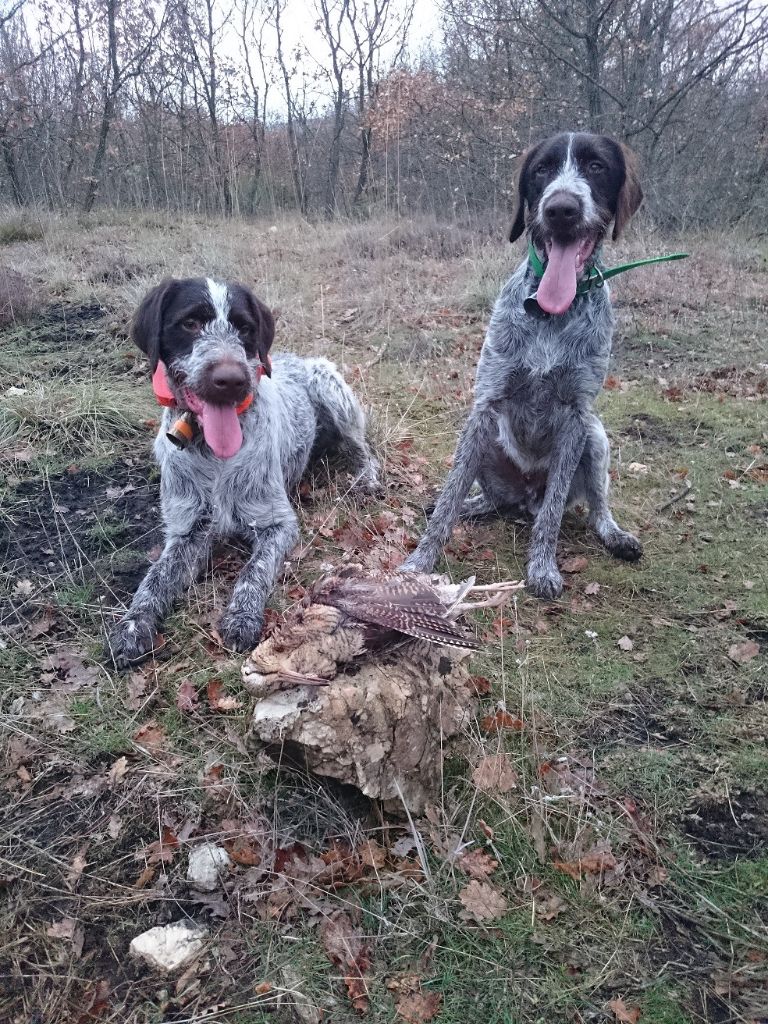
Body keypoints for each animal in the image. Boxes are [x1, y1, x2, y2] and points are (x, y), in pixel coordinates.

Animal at [109, 276, 382, 667]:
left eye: (244, 327)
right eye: (190, 323)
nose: (231, 380)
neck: (213, 453)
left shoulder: (277, 524)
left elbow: (254, 570)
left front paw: (242, 616)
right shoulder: (187, 533)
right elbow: (154, 580)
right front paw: (133, 625)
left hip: (329, 387)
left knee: (363, 450)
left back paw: (366, 479)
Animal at [403, 132, 651, 598]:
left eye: (596, 167)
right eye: (542, 170)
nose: (561, 209)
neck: (550, 314)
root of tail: (524, 498)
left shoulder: (576, 418)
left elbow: (553, 514)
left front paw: (542, 567)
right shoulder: (485, 406)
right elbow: (447, 499)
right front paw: (420, 562)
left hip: (595, 438)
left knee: (593, 505)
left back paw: (613, 534)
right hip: (486, 444)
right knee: (488, 497)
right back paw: (476, 505)